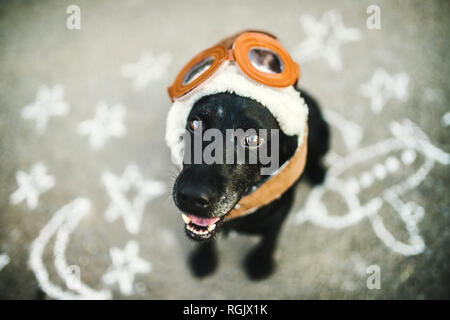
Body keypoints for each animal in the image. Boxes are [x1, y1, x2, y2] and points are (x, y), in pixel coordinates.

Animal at [171, 88, 328, 280]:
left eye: (253, 139)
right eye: (195, 124)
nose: (192, 196)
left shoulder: (280, 212)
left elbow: (270, 237)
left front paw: (261, 262)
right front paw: (204, 259)